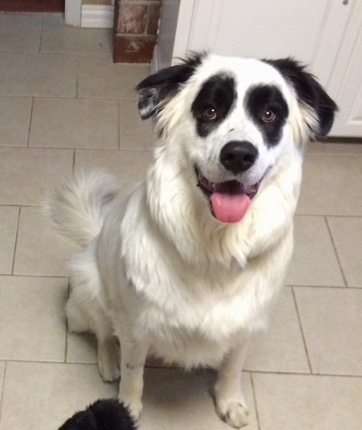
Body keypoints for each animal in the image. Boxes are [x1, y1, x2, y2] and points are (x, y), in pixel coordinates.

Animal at [47, 53, 336, 426]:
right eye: (210, 110)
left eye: (270, 114)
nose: (238, 154)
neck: (217, 248)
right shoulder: (137, 327)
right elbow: (133, 373)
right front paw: (127, 408)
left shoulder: (245, 323)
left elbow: (232, 367)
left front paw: (229, 401)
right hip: (90, 287)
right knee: (103, 332)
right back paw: (108, 361)